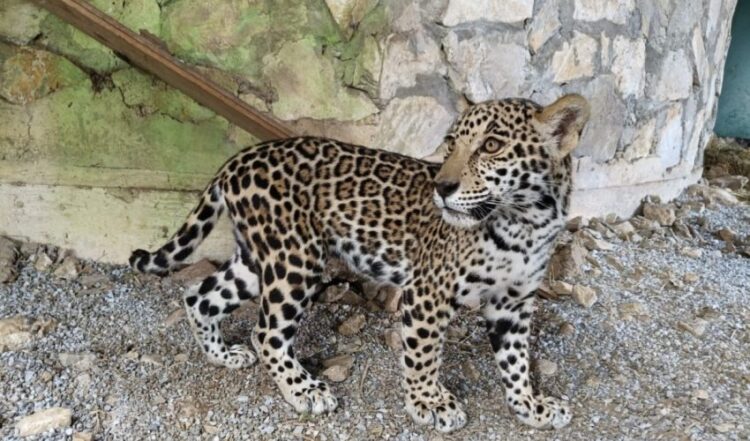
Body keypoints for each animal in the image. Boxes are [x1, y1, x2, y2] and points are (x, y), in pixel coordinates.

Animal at [129, 94, 590, 432]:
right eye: (451, 144)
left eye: (491, 146)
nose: (442, 187)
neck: (526, 223)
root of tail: (238, 160)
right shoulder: (428, 292)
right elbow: (424, 354)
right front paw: (430, 403)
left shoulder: (513, 303)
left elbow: (516, 361)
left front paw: (530, 406)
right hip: (296, 260)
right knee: (267, 332)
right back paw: (304, 391)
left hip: (259, 260)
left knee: (200, 296)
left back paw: (222, 355)